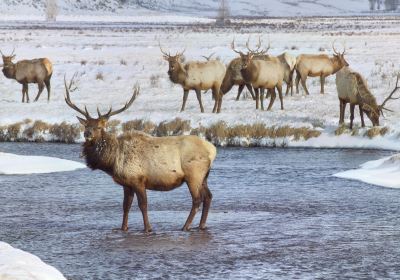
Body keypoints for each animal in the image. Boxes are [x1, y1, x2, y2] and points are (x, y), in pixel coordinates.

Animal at [64, 76, 217, 232]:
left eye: (99, 127)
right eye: (86, 125)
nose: (87, 134)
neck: (113, 161)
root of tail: (212, 150)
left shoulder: (138, 180)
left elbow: (143, 205)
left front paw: (148, 228)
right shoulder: (126, 184)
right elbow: (125, 206)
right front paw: (123, 228)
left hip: (193, 174)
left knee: (197, 199)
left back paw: (185, 226)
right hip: (204, 176)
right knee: (208, 196)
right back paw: (201, 225)